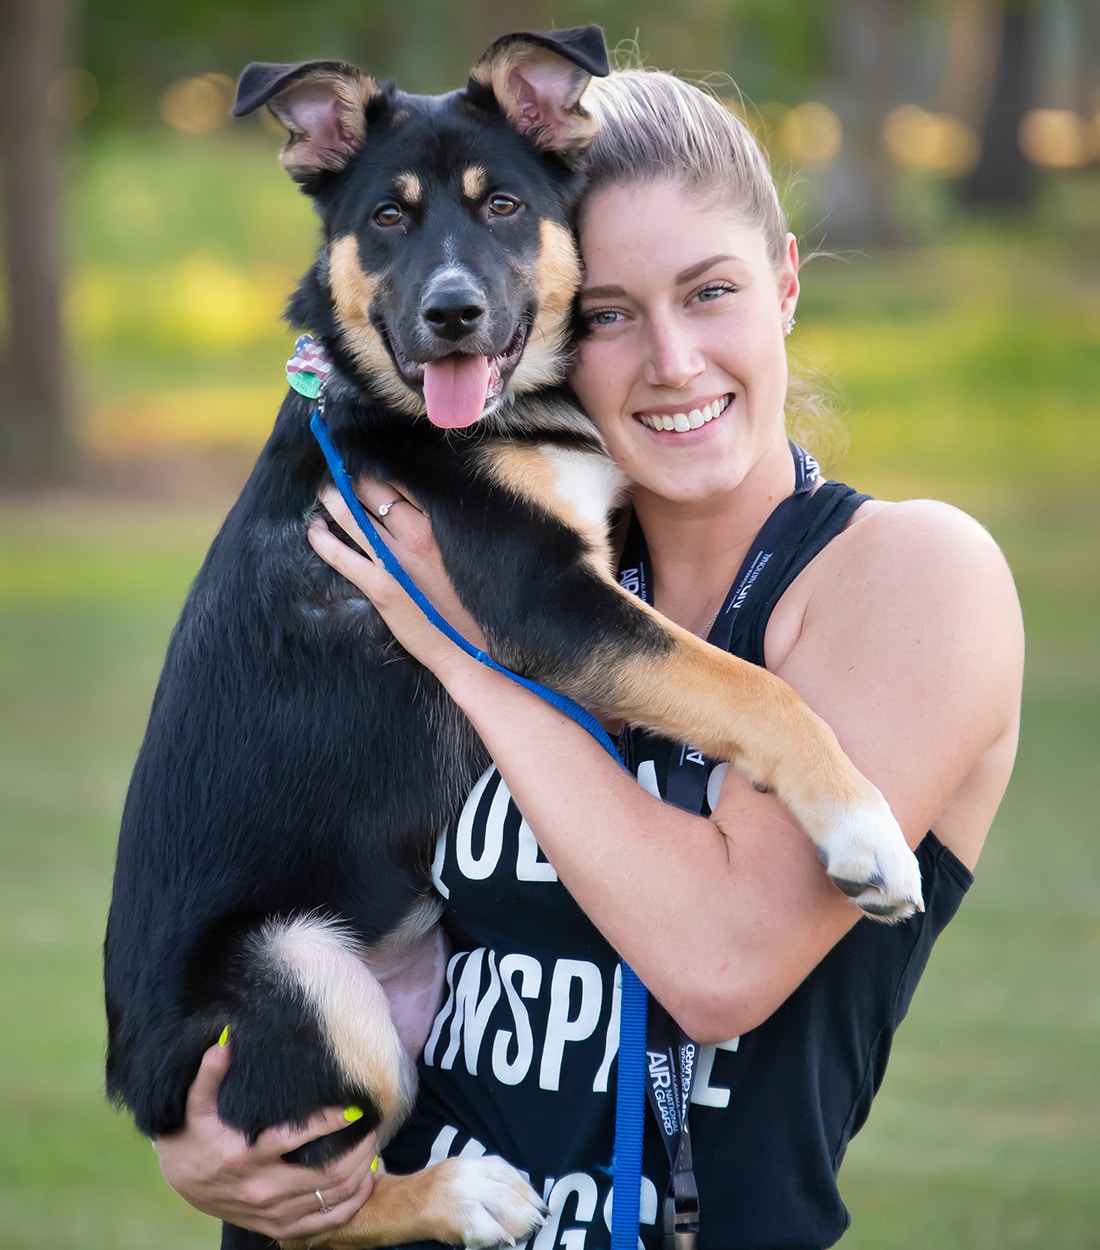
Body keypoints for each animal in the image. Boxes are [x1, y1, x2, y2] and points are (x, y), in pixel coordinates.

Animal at [107, 29, 925, 1250]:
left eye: (500, 205)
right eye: (386, 219)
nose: (451, 314)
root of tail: (136, 1080)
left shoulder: (596, 556)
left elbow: (721, 668)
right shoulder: (538, 596)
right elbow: (747, 686)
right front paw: (865, 835)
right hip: (304, 976)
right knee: (319, 1202)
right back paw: (468, 1192)